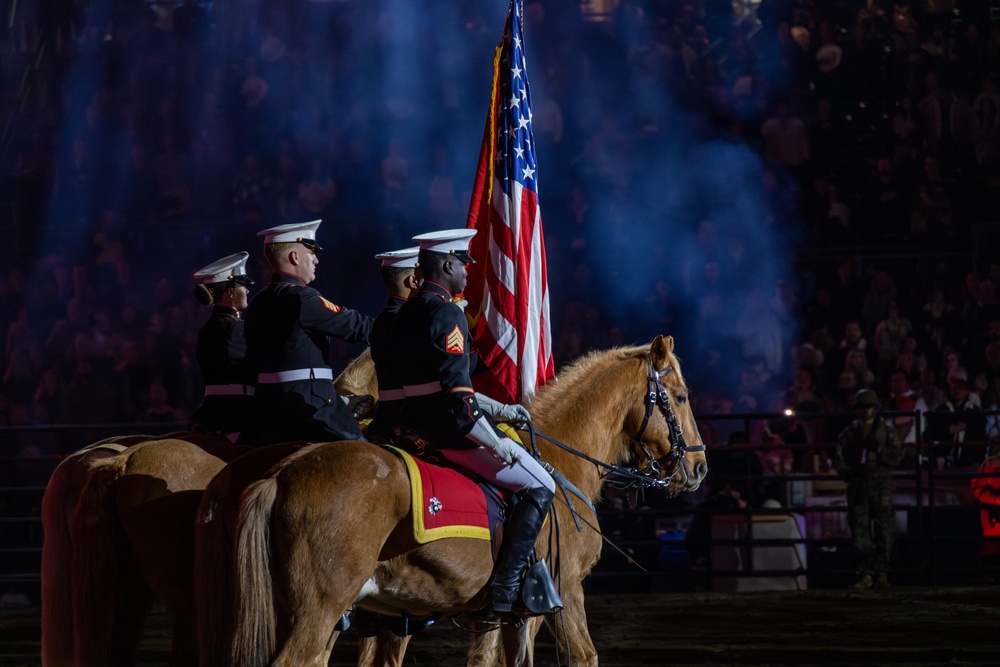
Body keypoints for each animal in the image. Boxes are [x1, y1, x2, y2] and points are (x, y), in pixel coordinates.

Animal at [230, 336, 708, 664]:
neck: (560, 462)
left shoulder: (506, 615)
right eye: (681, 397)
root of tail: (283, 474)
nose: (700, 467)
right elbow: (582, 656)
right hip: (321, 608)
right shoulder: (563, 591)